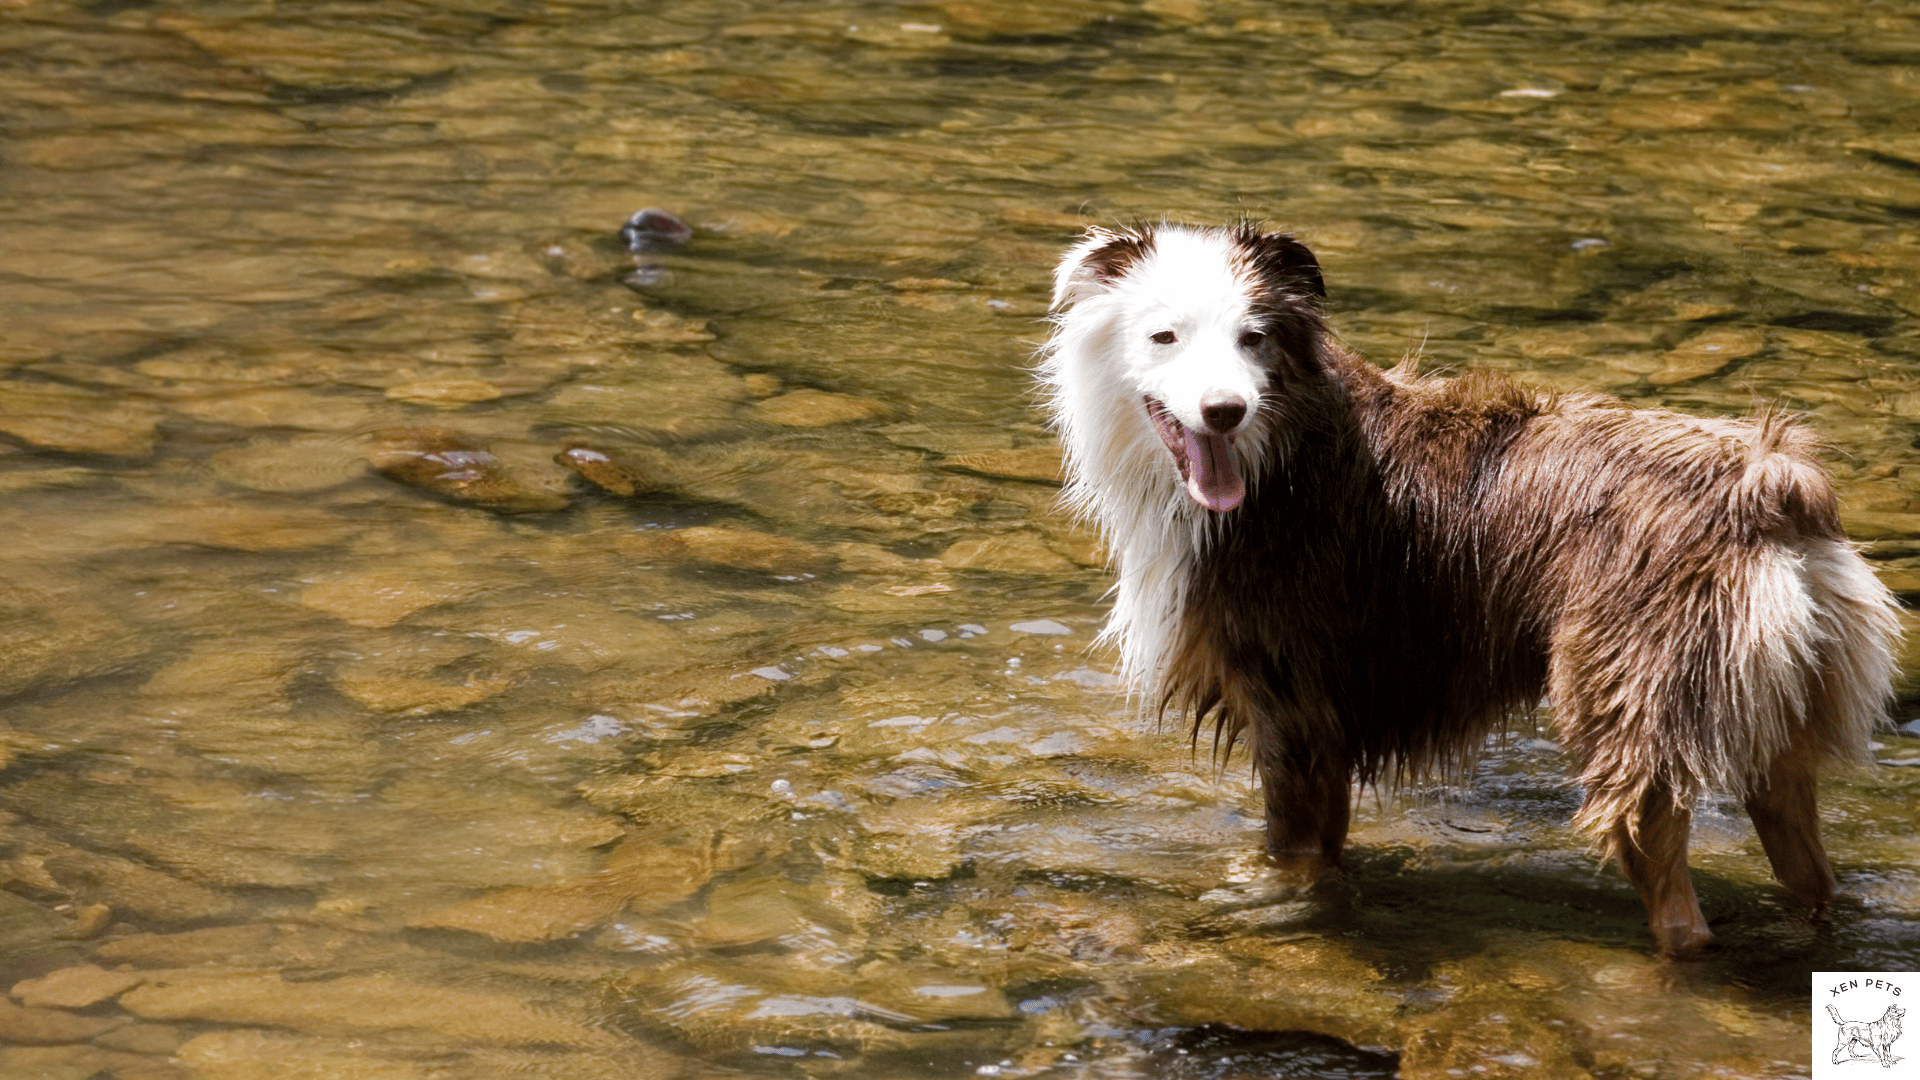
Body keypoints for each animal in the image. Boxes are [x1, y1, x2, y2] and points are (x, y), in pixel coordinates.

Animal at [1052, 216, 1904, 949]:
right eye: (1164, 336)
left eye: (1252, 338)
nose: (1225, 410)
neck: (1278, 457)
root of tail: (1773, 483)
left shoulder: (1291, 705)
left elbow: (1290, 851)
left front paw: (1263, 901)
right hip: (1779, 709)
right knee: (1807, 862)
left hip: (1625, 692)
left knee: (1668, 884)